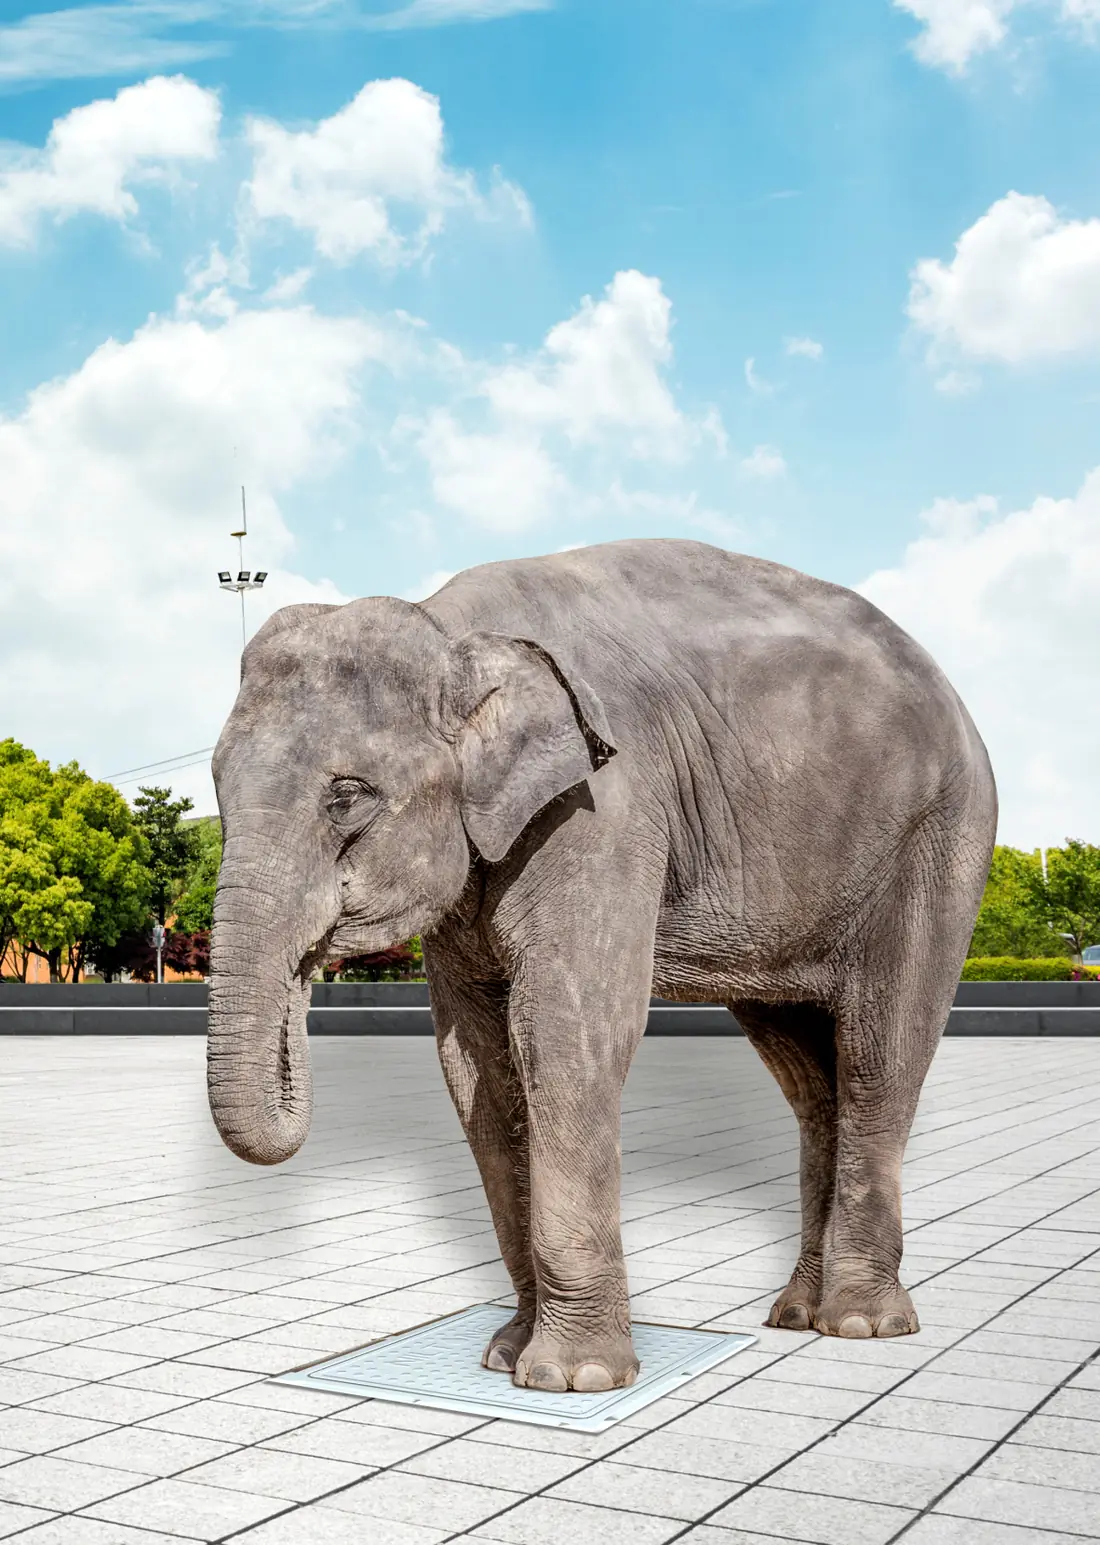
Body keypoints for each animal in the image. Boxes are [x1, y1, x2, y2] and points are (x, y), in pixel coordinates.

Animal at [207, 538, 996, 1394]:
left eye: (347, 799)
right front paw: (505, 1355)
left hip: (939, 840)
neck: (452, 626)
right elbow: (474, 1061)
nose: (311, 972)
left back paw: (859, 1324)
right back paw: (794, 1314)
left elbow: (564, 1032)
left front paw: (572, 1377)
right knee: (810, 1078)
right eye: (215, 789)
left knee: (878, 1056)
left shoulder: (606, 804)